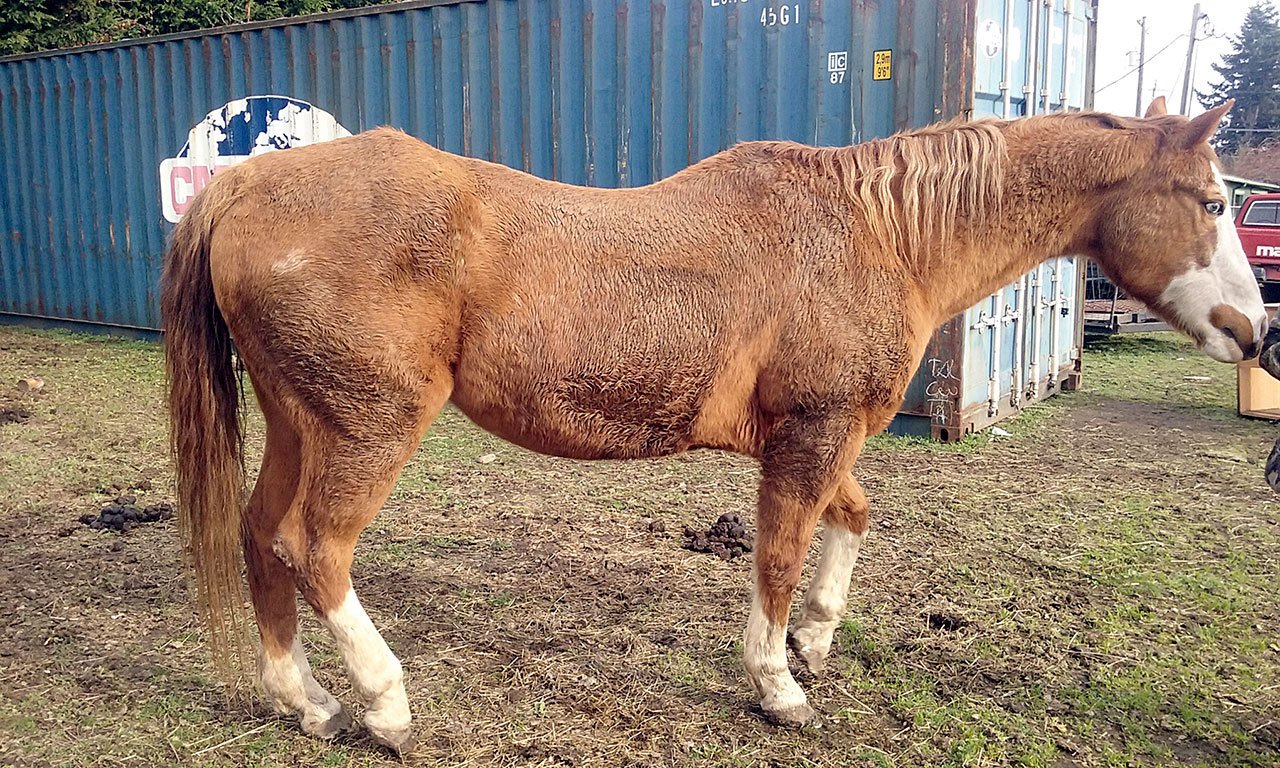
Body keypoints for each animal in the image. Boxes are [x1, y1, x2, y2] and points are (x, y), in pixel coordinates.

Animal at [160, 95, 1265, 753]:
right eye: (1211, 201)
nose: (1256, 332)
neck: (875, 235)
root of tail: (246, 182)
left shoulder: (820, 437)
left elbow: (849, 520)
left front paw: (814, 637)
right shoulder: (812, 434)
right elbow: (775, 555)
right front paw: (776, 683)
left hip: (299, 420)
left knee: (260, 538)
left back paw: (303, 700)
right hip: (370, 428)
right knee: (315, 547)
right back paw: (383, 703)